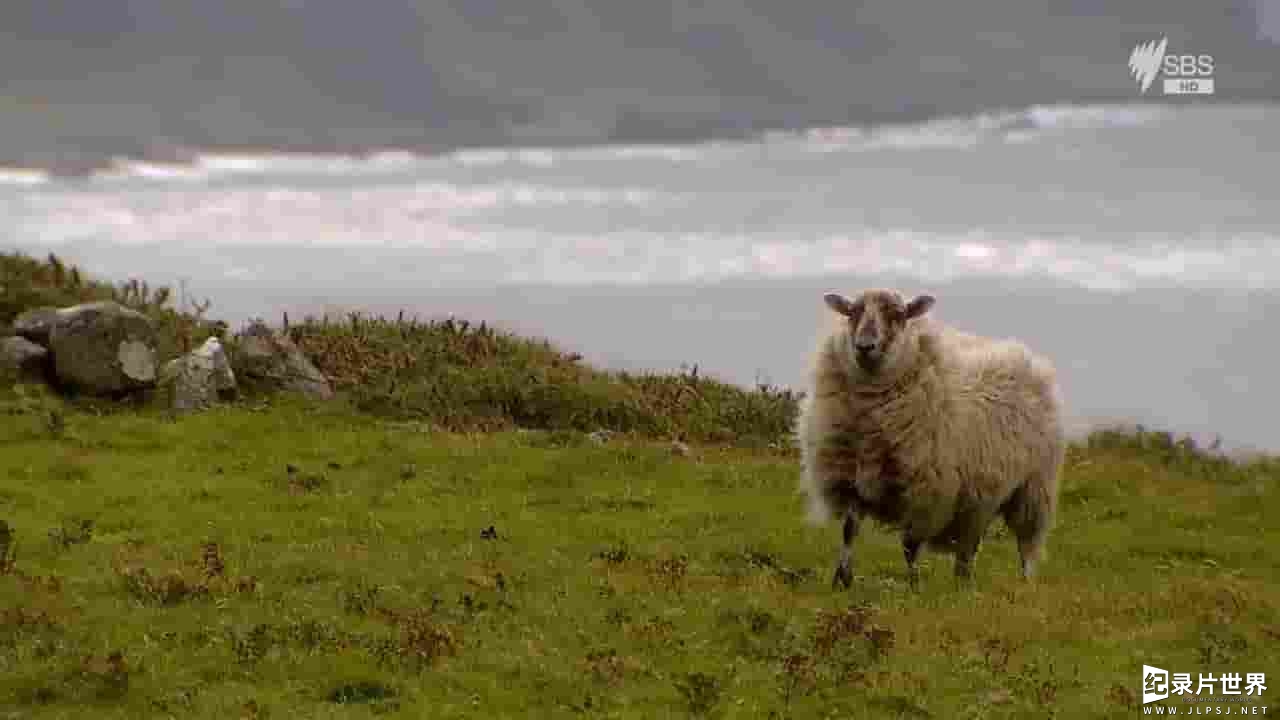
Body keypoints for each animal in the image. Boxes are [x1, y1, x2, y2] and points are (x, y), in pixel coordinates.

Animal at [793, 285, 1064, 584]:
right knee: (968, 548)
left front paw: (914, 584)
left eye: (898, 314)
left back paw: (1025, 582)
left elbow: (910, 545)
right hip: (977, 500)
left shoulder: (924, 489)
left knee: (1025, 544)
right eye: (853, 312)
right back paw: (962, 583)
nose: (864, 346)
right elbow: (849, 531)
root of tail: (1032, 360)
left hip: (1033, 488)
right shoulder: (852, 480)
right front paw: (842, 579)